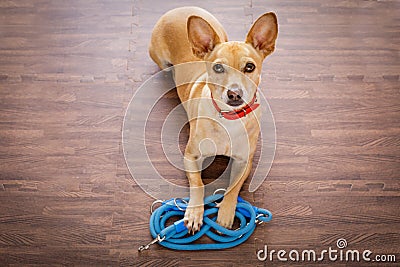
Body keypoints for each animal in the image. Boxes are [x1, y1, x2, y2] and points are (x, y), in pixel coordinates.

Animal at [148, 6, 276, 232]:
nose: (234, 94)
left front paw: (225, 212)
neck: (228, 117)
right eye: (218, 68)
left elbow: (233, 188)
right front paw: (194, 212)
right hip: (160, 59)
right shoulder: (191, 156)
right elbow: (198, 184)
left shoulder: (244, 162)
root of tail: (179, 9)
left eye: (249, 67)